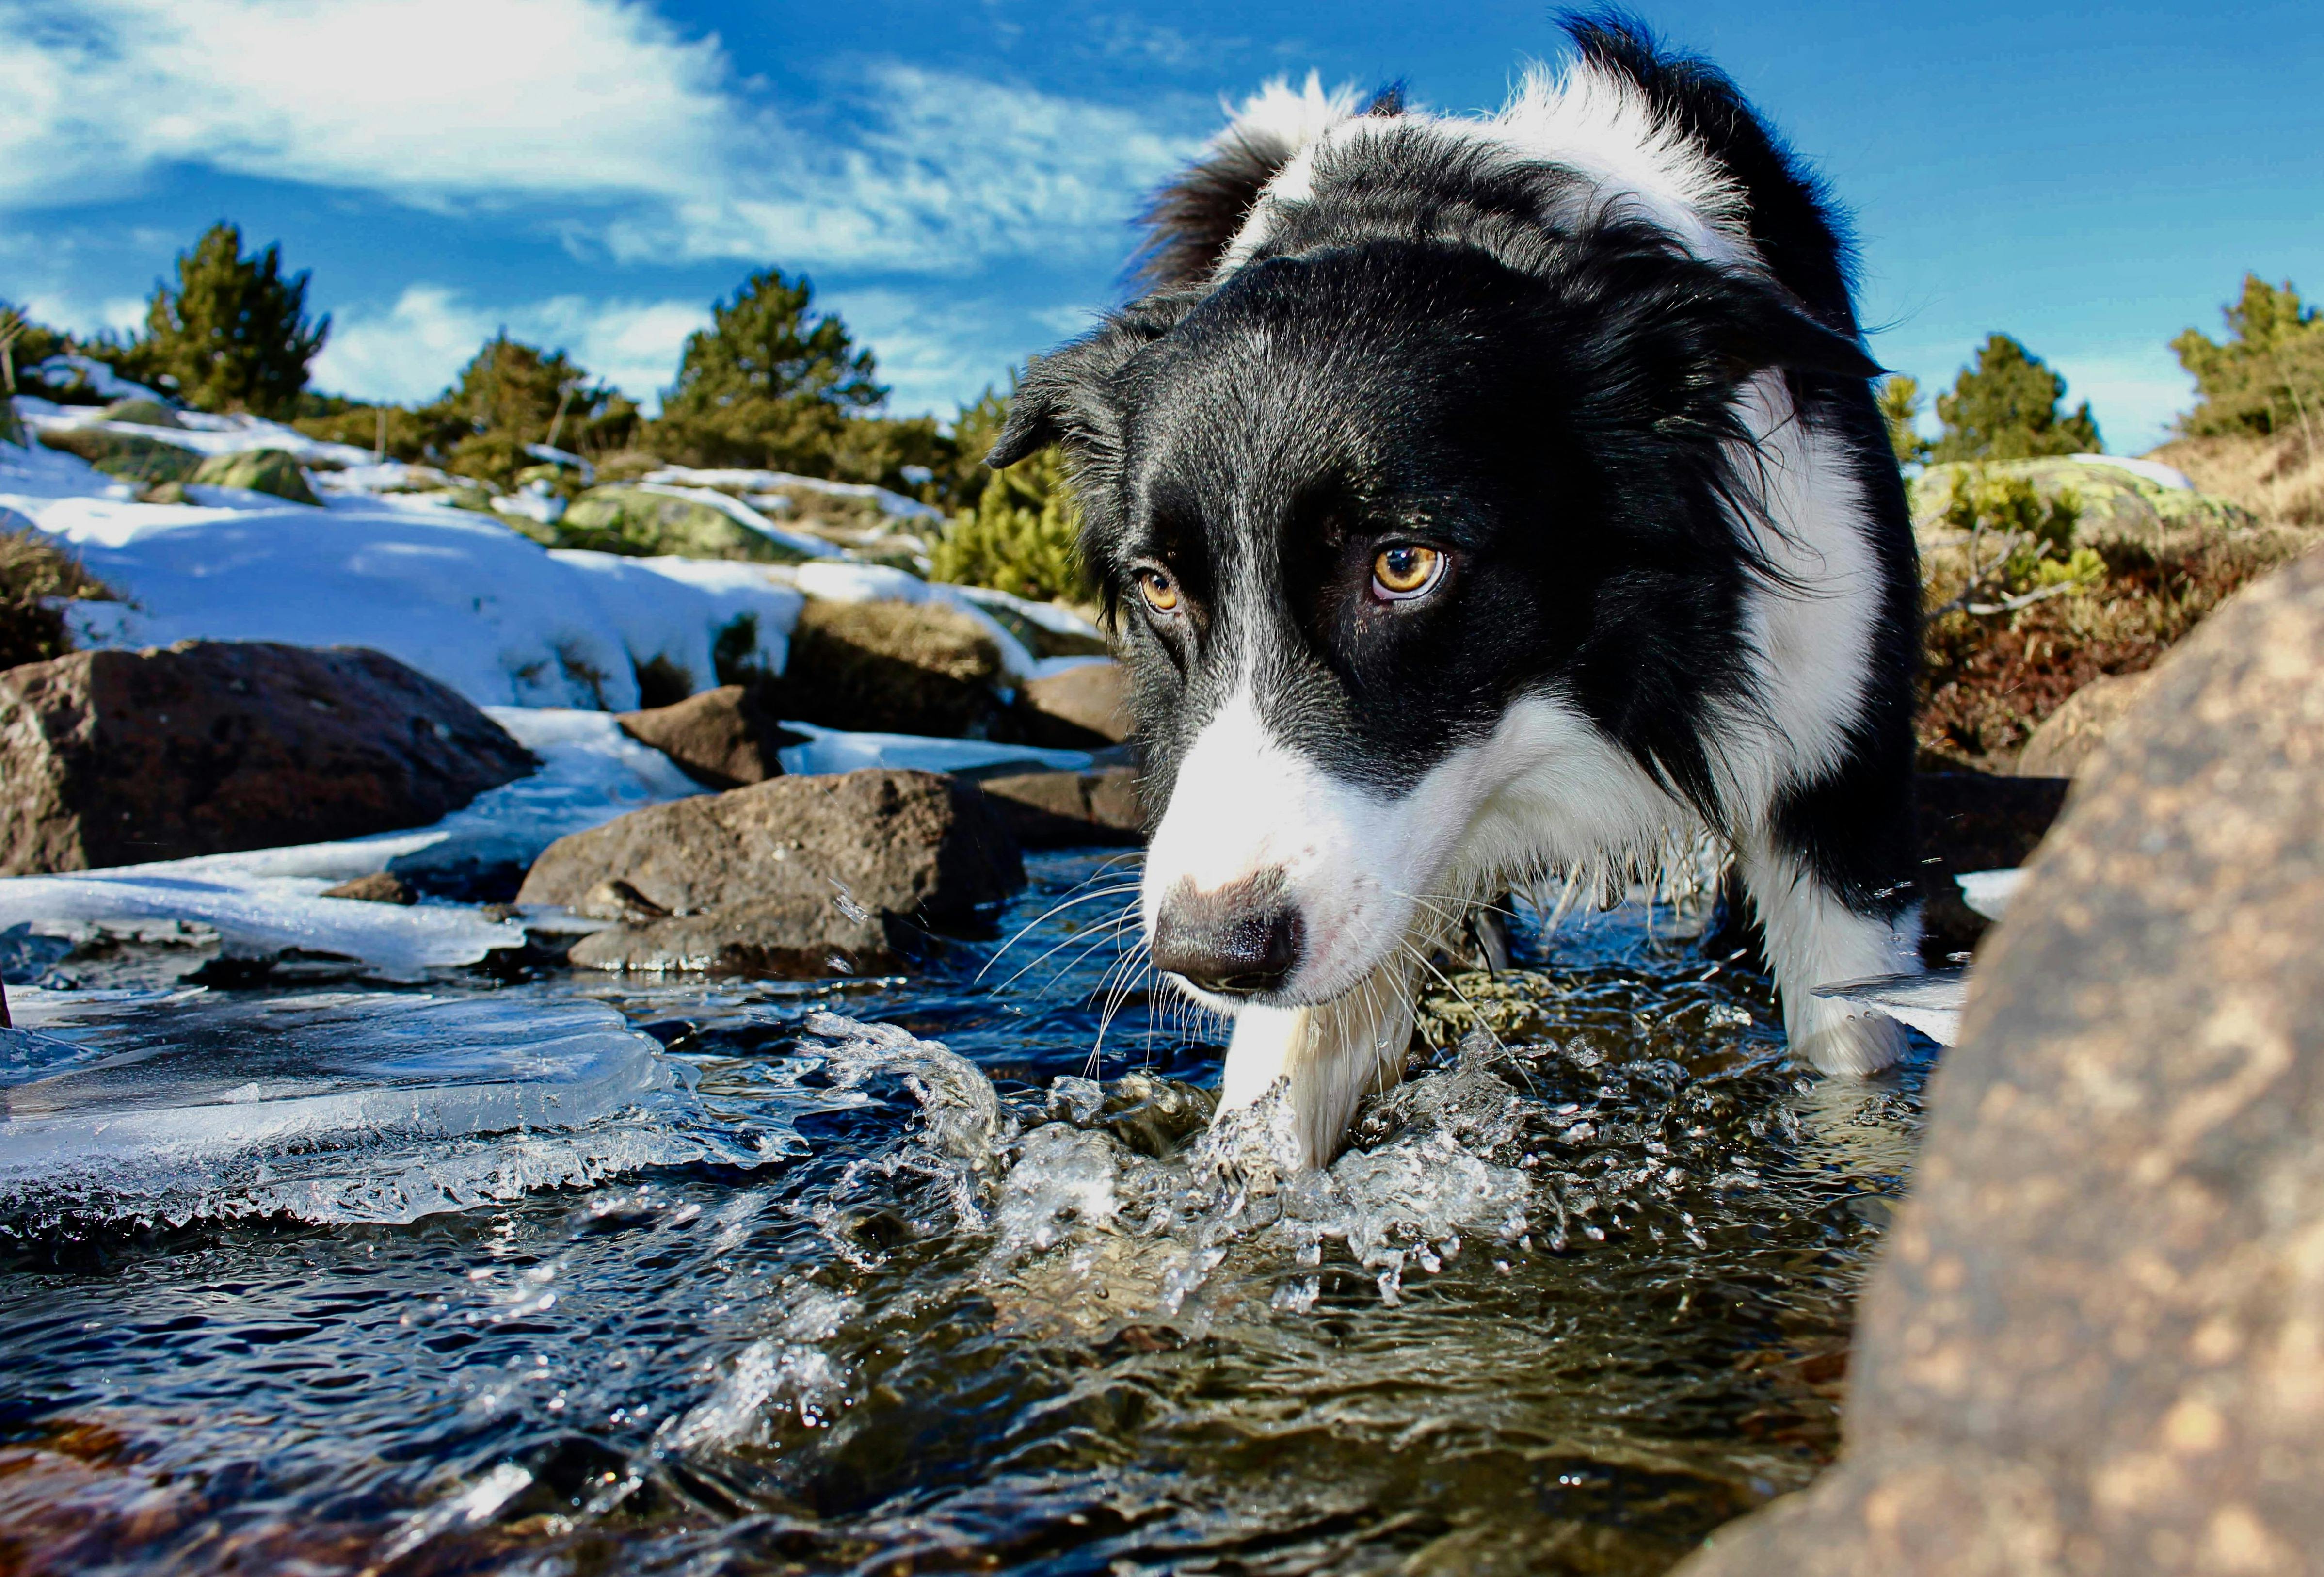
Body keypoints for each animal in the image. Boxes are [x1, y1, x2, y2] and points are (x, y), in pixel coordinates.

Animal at [990, 18, 1915, 1167]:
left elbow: (1853, 1059)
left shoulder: (1835, 759)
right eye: (1158, 586)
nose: (1208, 954)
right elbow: (1274, 1104)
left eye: (1403, 564)